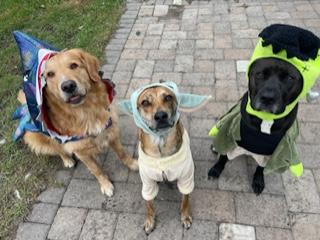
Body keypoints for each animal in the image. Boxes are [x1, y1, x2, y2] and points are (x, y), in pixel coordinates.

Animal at [17, 49, 138, 197]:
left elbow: (122, 153)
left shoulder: (111, 131)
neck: (86, 112)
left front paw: (133, 164)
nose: (68, 86)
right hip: (39, 137)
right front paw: (105, 184)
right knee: (57, 147)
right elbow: (96, 169)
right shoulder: (81, 152)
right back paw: (67, 160)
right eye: (50, 74)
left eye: (74, 65)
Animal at [208, 58, 302, 195]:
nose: (268, 98)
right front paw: (216, 169)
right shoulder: (230, 133)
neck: (265, 119)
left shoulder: (271, 153)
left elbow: (261, 168)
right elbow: (223, 157)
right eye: (260, 74)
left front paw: (258, 181)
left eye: (289, 78)